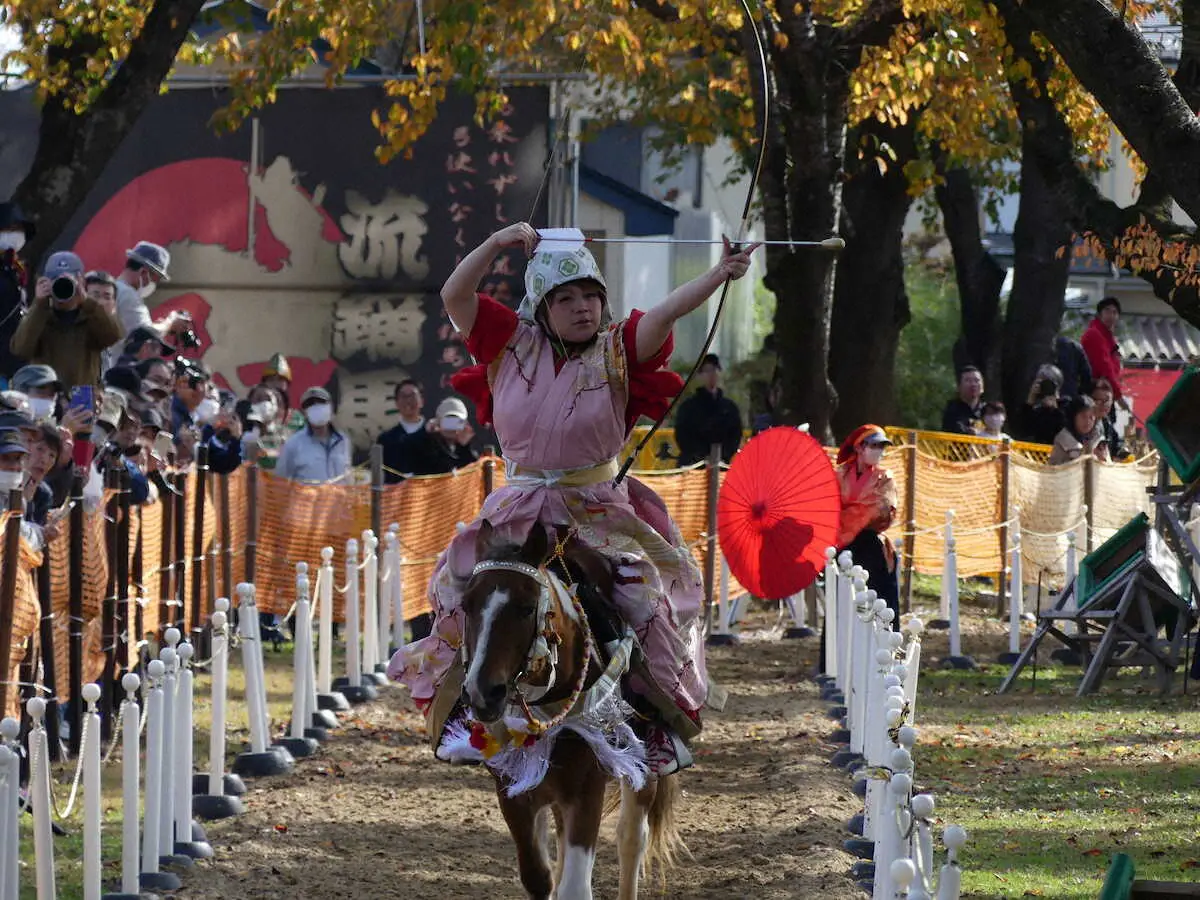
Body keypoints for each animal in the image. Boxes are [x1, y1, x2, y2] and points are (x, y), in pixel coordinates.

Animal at [458, 520, 686, 900]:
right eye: (466, 605)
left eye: (526, 607)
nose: (482, 692)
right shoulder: (513, 793)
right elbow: (539, 877)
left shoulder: (586, 792)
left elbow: (575, 887)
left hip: (645, 766)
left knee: (630, 839)